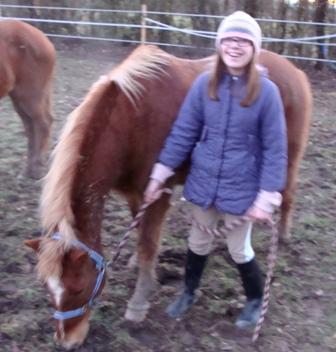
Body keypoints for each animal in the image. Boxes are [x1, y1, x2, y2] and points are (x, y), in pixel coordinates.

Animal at [0, 18, 54, 179]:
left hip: (29, 98)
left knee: (43, 124)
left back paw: (35, 168)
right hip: (18, 99)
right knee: (31, 127)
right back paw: (27, 170)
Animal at [24, 44, 312, 350]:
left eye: (78, 288)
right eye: (47, 287)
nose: (67, 341)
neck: (131, 120)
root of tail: (295, 71)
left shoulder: (158, 196)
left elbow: (147, 244)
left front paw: (139, 301)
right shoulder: (136, 194)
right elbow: (140, 231)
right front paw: (136, 264)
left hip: (288, 159)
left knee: (287, 194)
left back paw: (283, 235)